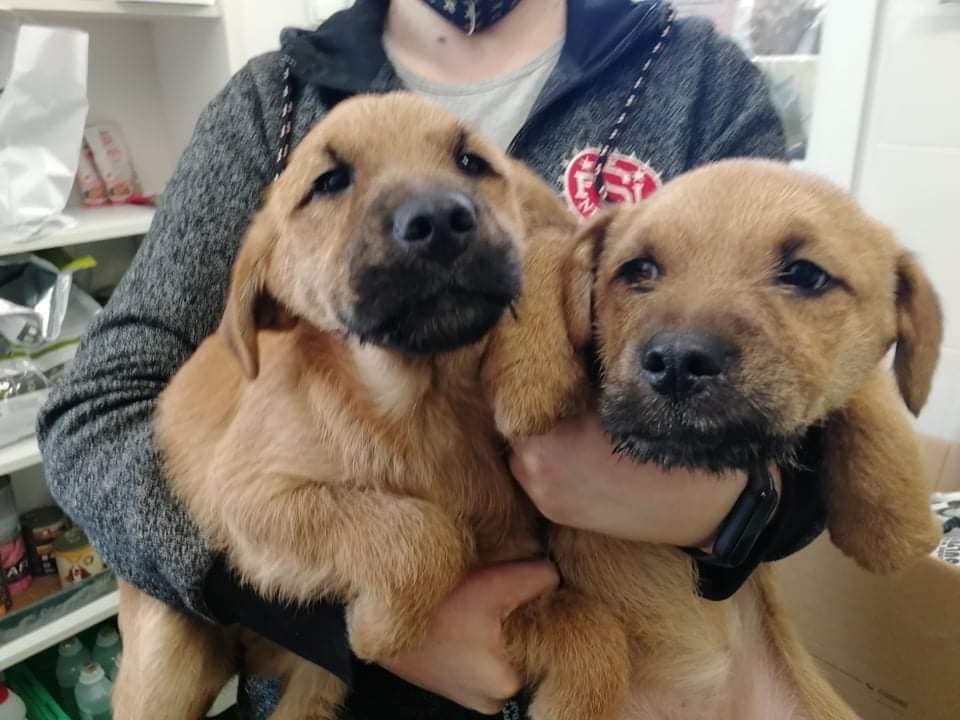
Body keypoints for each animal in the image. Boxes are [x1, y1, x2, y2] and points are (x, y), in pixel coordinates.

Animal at [485, 158, 943, 719]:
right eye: (638, 270)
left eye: (806, 274)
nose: (678, 362)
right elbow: (554, 237)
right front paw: (530, 377)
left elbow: (869, 386)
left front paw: (897, 522)